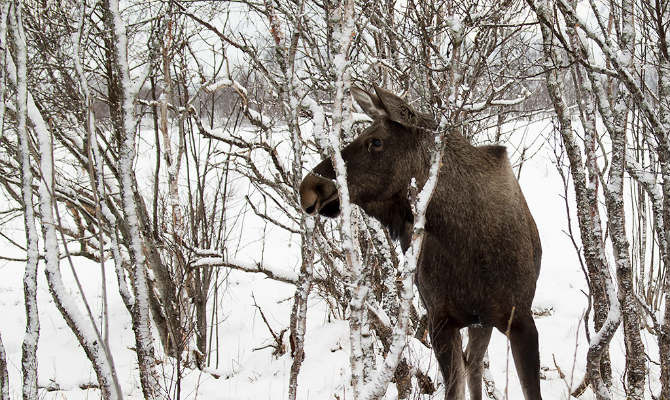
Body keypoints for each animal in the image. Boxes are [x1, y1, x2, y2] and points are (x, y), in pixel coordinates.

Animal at [299, 86, 543, 400]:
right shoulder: (440, 321)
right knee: (473, 363)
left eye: (375, 141)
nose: (309, 186)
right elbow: (454, 391)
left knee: (474, 363)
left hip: (484, 321)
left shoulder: (521, 320)